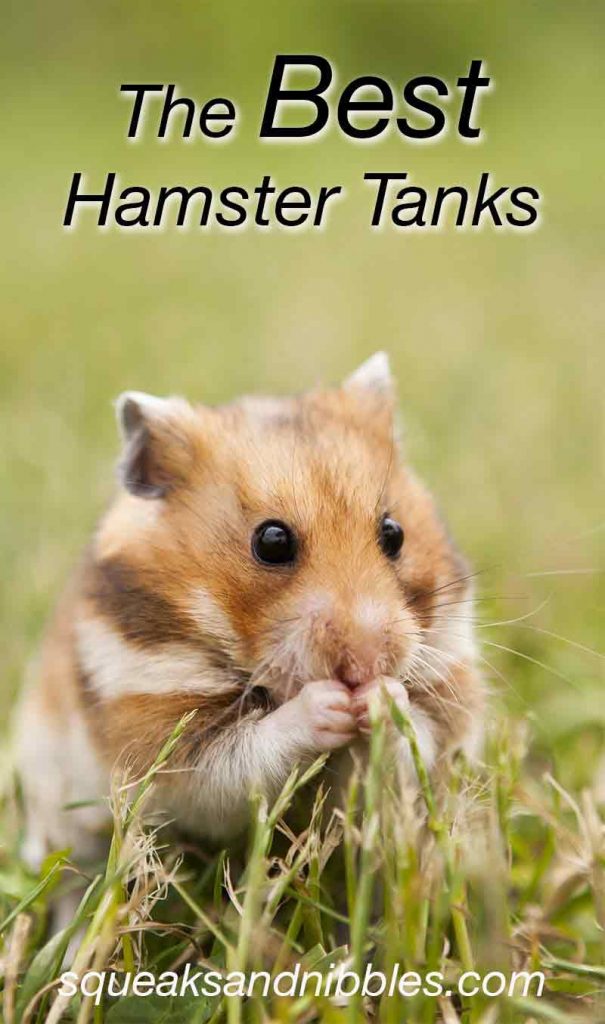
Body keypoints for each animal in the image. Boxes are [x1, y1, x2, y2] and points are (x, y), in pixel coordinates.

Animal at [15, 353, 483, 868]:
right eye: (272, 541)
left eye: (394, 533)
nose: (364, 666)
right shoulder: (164, 735)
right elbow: (243, 757)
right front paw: (330, 704)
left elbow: (413, 744)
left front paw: (380, 698)